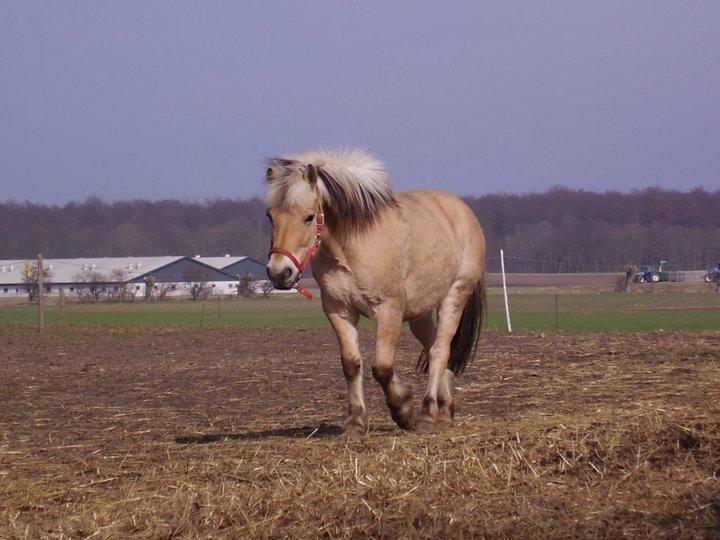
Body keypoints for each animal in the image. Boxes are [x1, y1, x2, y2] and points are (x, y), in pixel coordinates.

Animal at [262, 149, 484, 438]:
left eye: (309, 217)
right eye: (270, 216)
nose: (279, 273)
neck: (352, 248)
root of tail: (461, 210)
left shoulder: (389, 310)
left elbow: (382, 367)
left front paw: (404, 411)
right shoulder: (338, 310)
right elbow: (351, 364)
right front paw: (355, 422)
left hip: (455, 295)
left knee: (439, 350)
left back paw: (426, 414)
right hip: (420, 313)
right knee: (433, 347)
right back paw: (444, 411)